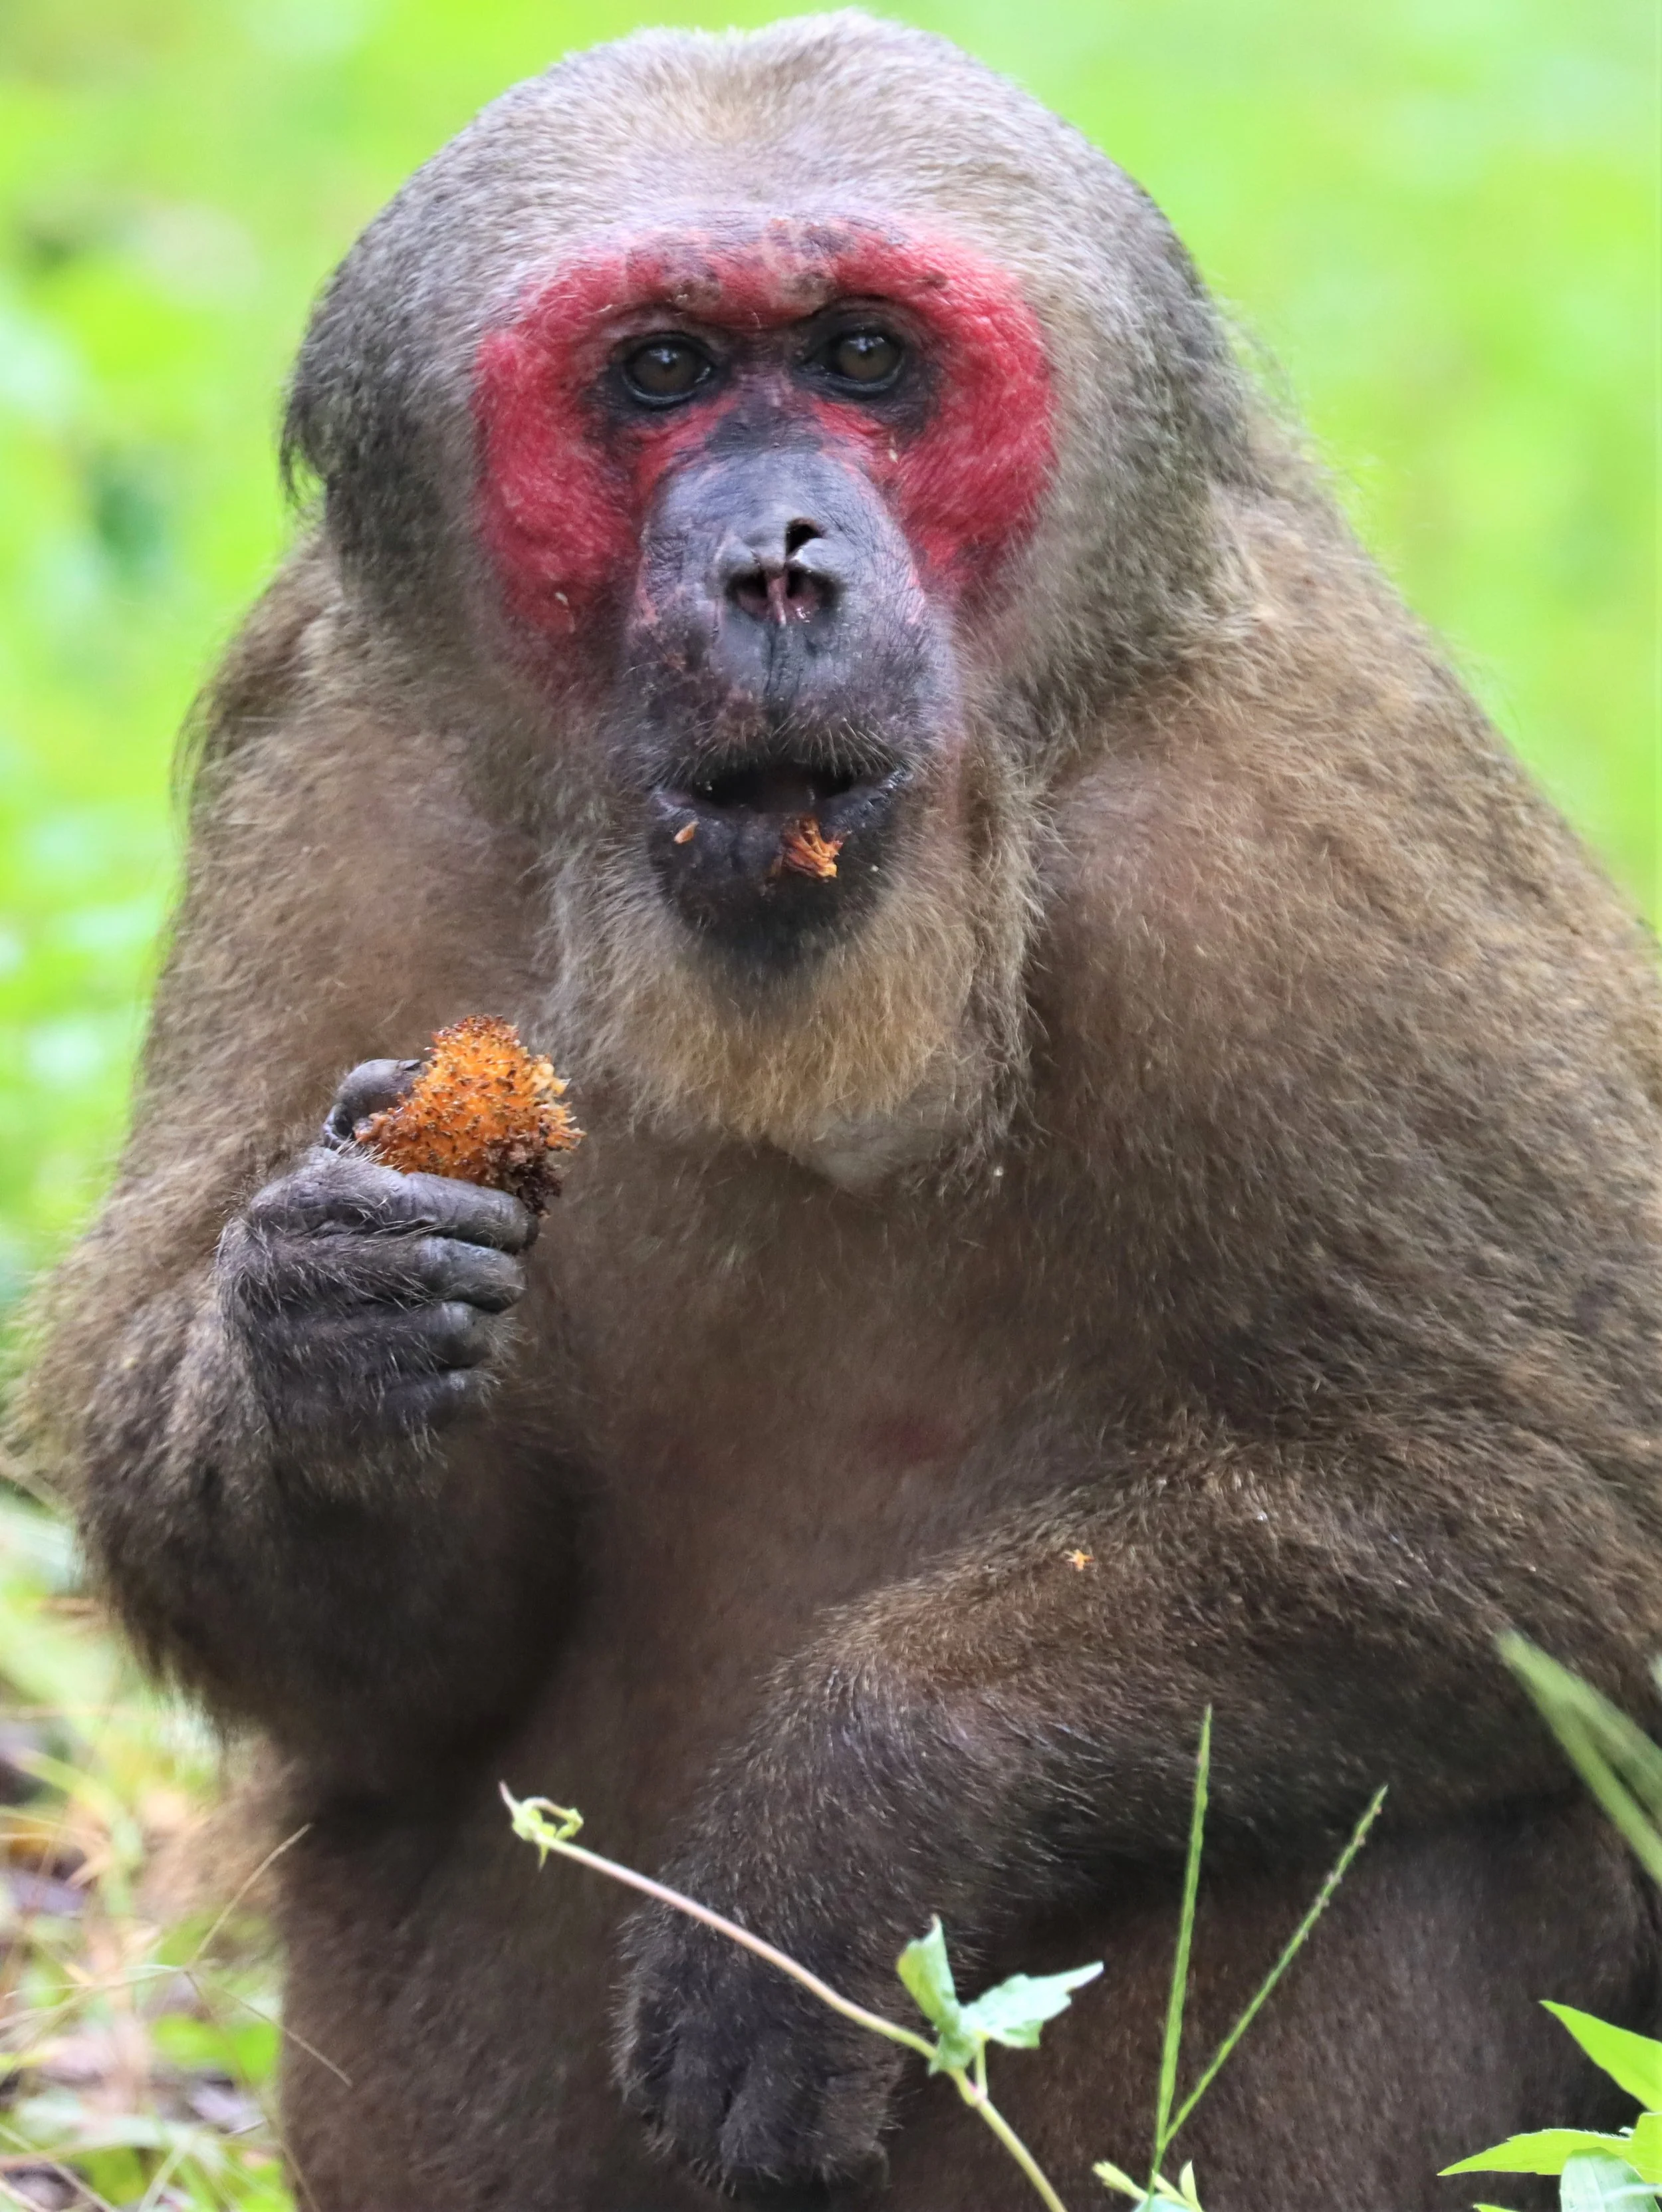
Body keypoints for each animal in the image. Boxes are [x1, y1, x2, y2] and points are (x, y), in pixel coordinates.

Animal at [17, 14, 1662, 2209]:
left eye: (867, 359)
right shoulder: (329, 779)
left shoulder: (1301, 810)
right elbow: (367, 1671)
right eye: (659, 373)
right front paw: (319, 1327)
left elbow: (1574, 1507)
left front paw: (858, 1797)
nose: (776, 560)